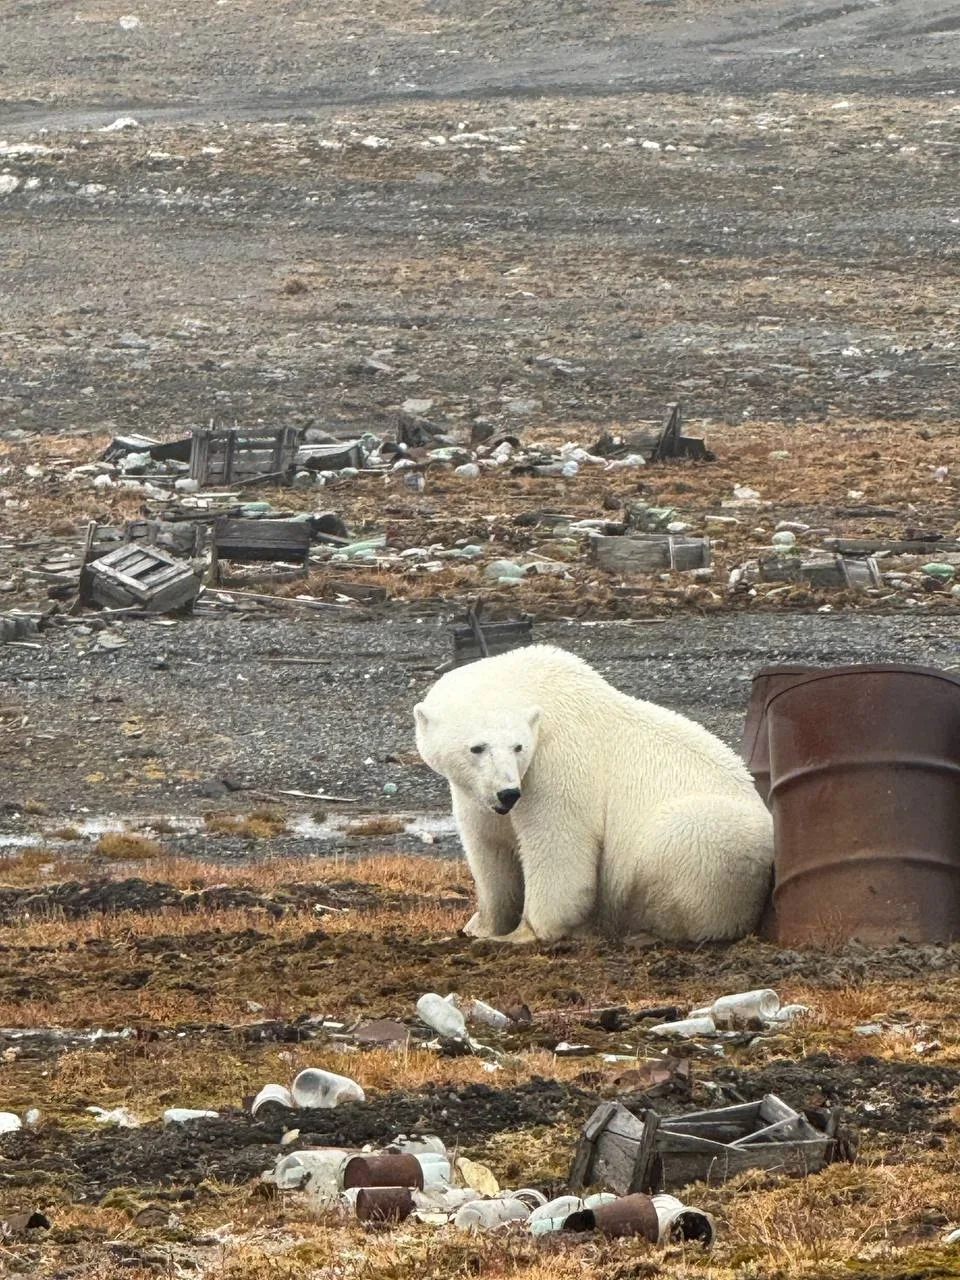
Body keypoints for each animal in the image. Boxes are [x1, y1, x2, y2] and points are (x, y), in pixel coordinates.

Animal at [414, 644, 773, 945]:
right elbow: (490, 849)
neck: (537, 688)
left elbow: (557, 845)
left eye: (518, 746)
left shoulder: (556, 763)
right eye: (477, 747)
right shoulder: (475, 792)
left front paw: (522, 934)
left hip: (708, 838)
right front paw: (479, 927)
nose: (508, 793)